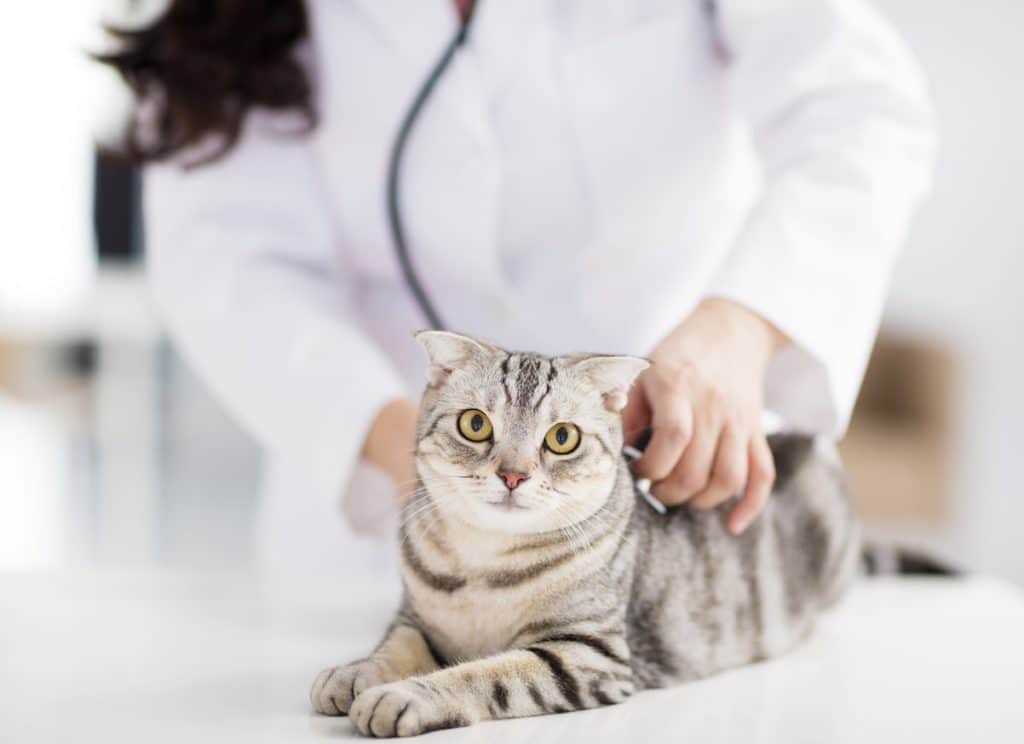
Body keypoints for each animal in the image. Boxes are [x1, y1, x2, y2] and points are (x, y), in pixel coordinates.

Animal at [311, 333, 864, 740]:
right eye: (475, 425)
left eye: (562, 438)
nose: (512, 475)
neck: (483, 564)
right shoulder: (416, 618)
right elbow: (394, 646)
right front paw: (354, 672)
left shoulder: (586, 655)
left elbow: (483, 674)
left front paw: (405, 694)